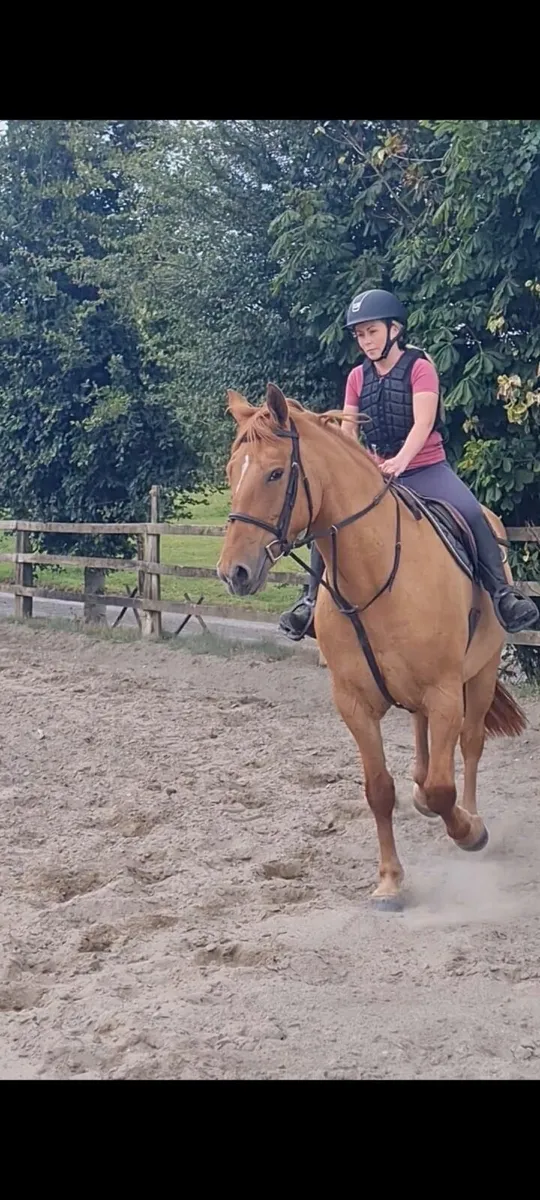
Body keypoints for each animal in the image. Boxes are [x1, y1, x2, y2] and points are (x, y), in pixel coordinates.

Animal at [217, 383, 527, 912]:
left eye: (276, 473)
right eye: (230, 473)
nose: (233, 572)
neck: (374, 575)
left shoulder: (446, 693)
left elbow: (445, 786)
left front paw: (467, 831)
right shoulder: (354, 703)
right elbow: (380, 790)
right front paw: (389, 882)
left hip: (481, 673)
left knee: (468, 745)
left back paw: (471, 817)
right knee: (425, 745)